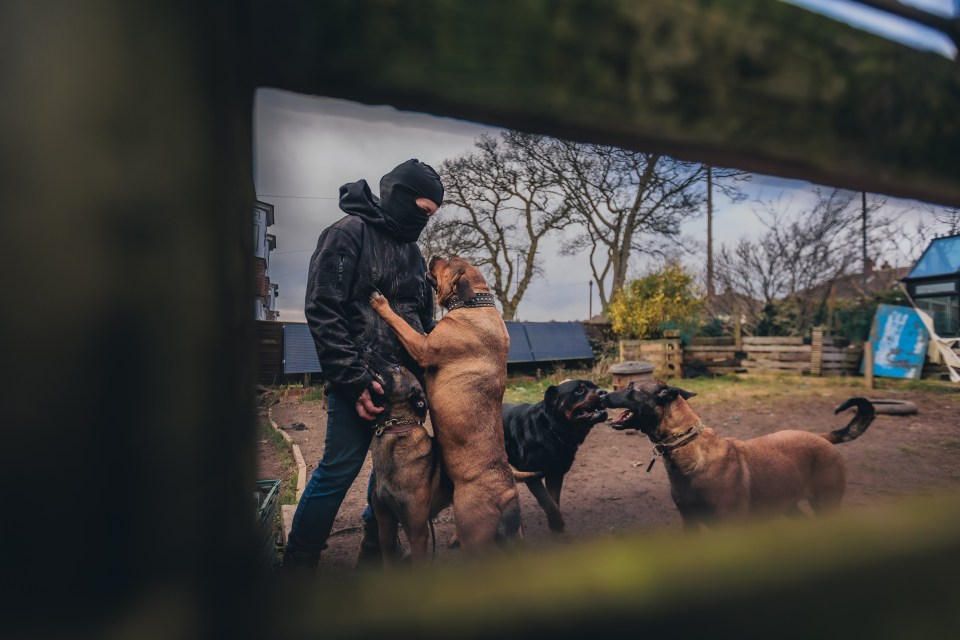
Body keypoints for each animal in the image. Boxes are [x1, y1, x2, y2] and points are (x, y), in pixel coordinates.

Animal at [608, 382, 876, 528]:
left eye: (631, 388)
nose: (601, 394)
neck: (688, 446)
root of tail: (822, 437)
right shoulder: (690, 522)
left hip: (826, 505)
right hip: (789, 505)